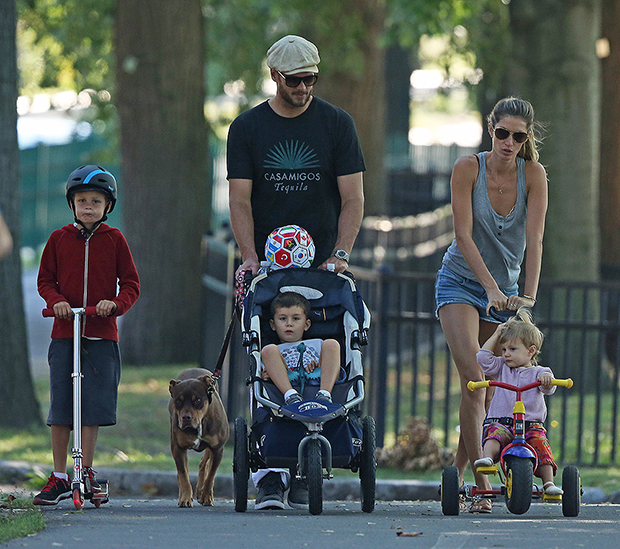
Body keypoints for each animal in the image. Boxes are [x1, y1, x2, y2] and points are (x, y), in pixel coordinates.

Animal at [168, 368, 229, 506]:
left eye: (197, 400)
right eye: (178, 401)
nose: (186, 417)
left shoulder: (217, 449)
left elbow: (211, 475)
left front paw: (206, 496)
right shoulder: (178, 448)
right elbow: (183, 474)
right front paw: (185, 498)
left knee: (203, 463)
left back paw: (201, 492)